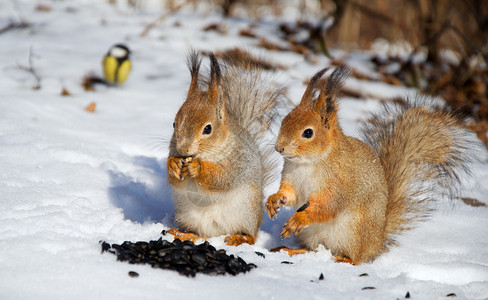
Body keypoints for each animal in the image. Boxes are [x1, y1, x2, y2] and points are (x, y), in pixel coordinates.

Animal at [167, 49, 282, 246]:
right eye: (174, 124)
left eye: (208, 129)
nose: (183, 150)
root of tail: (217, 232)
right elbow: (176, 183)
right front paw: (173, 165)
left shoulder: (238, 160)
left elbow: (222, 178)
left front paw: (197, 167)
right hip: (188, 215)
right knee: (199, 234)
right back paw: (184, 234)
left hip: (245, 212)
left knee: (251, 235)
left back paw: (240, 238)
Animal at [266, 65, 476, 262]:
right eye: (284, 120)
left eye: (308, 133)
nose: (279, 148)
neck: (308, 163)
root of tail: (377, 242)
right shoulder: (292, 179)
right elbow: (290, 195)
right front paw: (273, 200)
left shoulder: (338, 184)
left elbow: (330, 205)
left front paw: (300, 218)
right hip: (314, 235)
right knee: (314, 249)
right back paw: (293, 250)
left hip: (353, 231)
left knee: (355, 259)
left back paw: (342, 258)